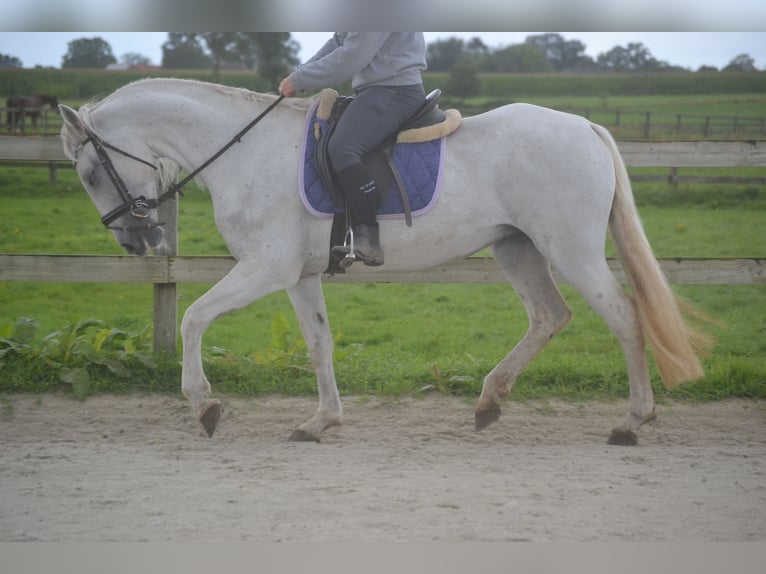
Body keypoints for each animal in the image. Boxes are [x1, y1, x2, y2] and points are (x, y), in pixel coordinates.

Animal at [58, 77, 708, 446]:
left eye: (88, 171)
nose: (134, 242)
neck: (247, 153)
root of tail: (585, 127)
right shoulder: (299, 276)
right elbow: (319, 343)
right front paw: (321, 422)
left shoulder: (265, 270)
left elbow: (194, 316)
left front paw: (205, 405)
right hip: (515, 246)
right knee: (550, 317)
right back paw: (489, 403)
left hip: (570, 249)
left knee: (624, 318)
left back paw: (631, 422)